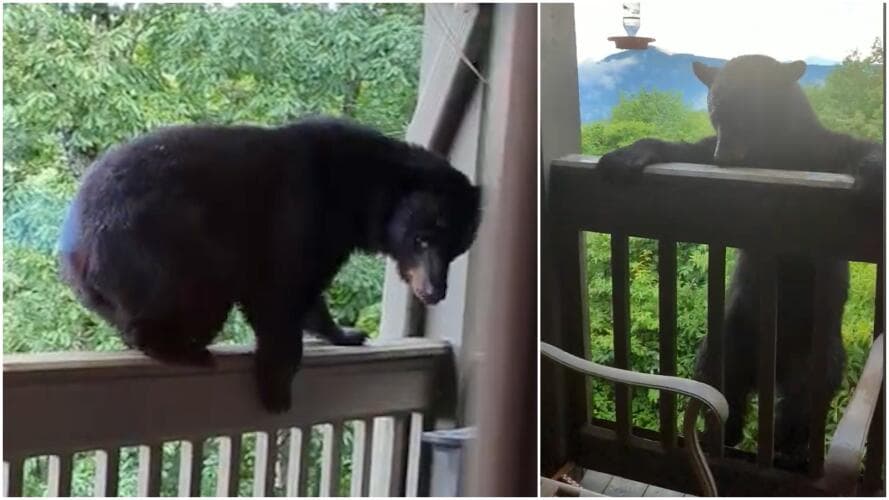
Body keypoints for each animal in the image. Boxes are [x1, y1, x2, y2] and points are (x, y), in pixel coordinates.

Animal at [59, 116, 481, 412]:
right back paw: (182, 350)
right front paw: (277, 385)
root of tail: (75, 253)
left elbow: (309, 290)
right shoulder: (299, 212)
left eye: (456, 249)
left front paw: (346, 333)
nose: (435, 291)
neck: (358, 193)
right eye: (423, 239)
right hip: (165, 247)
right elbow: (279, 289)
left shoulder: (328, 238)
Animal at [597, 55, 884, 463]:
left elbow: (857, 147)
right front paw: (624, 156)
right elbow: (687, 150)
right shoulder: (706, 152)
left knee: (805, 401)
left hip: (820, 349)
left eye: (749, 112)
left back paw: (787, 443)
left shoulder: (817, 149)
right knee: (721, 377)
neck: (770, 154)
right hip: (731, 334)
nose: (724, 158)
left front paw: (874, 180)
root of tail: (771, 369)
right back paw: (723, 432)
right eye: (716, 113)